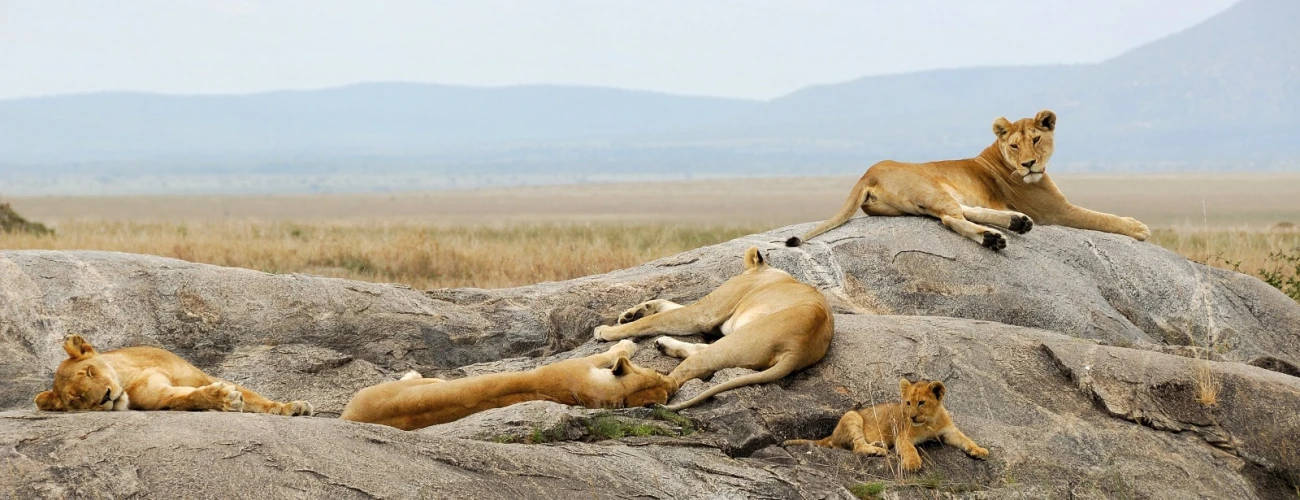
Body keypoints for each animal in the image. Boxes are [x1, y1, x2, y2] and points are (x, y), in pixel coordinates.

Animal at [34, 335, 313, 415]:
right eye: (77, 399)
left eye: (90, 372)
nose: (105, 397)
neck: (128, 376)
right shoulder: (160, 396)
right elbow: (187, 398)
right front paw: (222, 399)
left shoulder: (202, 377)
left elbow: (257, 399)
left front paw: (291, 407)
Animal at [340, 337, 676, 428]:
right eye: (658, 373)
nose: (673, 385)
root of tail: (348, 416)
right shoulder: (578, 365)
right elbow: (613, 351)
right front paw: (628, 343)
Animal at [595, 245, 837, 410]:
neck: (768, 271)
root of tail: (798, 349)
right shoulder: (715, 323)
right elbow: (666, 307)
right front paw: (635, 311)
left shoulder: (705, 314)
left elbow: (655, 320)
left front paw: (606, 331)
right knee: (700, 352)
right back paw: (663, 344)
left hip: (735, 342)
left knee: (677, 378)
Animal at [780, 379, 982, 467]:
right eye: (908, 403)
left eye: (921, 403)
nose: (911, 417)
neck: (929, 421)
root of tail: (831, 434)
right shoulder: (902, 437)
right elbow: (910, 449)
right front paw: (912, 463)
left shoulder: (949, 432)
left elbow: (966, 439)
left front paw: (980, 451)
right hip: (852, 416)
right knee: (857, 447)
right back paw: (877, 450)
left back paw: (879, 444)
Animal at [785, 109, 1154, 249]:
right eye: (1015, 145)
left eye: (1036, 139)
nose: (1029, 164)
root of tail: (867, 174)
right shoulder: (1057, 211)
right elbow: (1100, 218)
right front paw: (1137, 227)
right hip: (932, 188)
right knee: (952, 219)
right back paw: (993, 238)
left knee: (962, 212)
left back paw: (1017, 222)